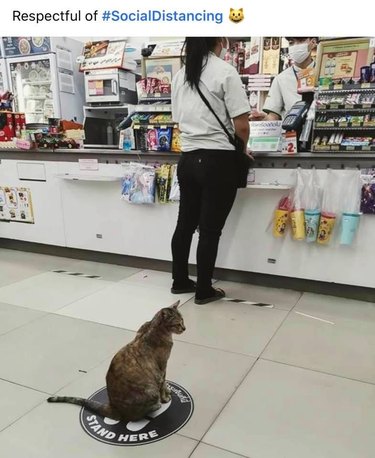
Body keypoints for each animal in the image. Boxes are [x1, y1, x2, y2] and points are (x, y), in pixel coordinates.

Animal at [47, 300, 186, 422]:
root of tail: (113, 407)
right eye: (178, 323)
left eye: (183, 320)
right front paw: (166, 398)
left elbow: (165, 382)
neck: (153, 326)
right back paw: (156, 406)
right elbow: (163, 382)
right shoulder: (162, 366)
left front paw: (168, 391)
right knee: (136, 416)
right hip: (151, 392)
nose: (184, 328)